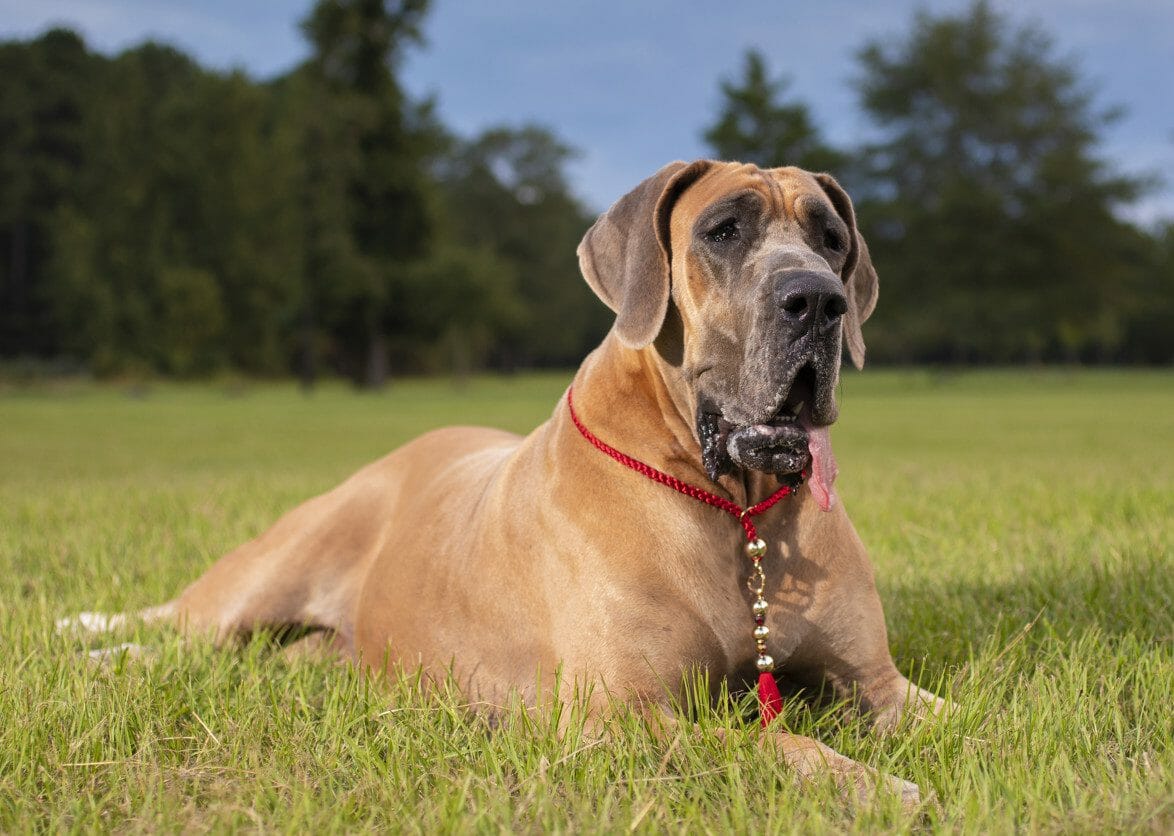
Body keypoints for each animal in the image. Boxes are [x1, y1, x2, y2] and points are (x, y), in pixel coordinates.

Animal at [64, 162, 943, 803]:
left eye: (832, 239)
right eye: (723, 231)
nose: (818, 299)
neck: (737, 509)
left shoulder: (881, 683)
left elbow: (952, 715)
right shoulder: (620, 715)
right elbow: (777, 744)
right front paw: (871, 785)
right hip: (266, 573)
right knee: (175, 629)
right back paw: (92, 644)